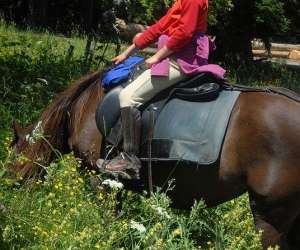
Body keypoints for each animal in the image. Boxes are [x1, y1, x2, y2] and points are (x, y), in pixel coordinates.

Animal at [10, 69, 300, 249]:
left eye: (12, 160)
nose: (13, 202)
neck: (85, 106)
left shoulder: (100, 182)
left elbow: (108, 224)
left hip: (269, 218)